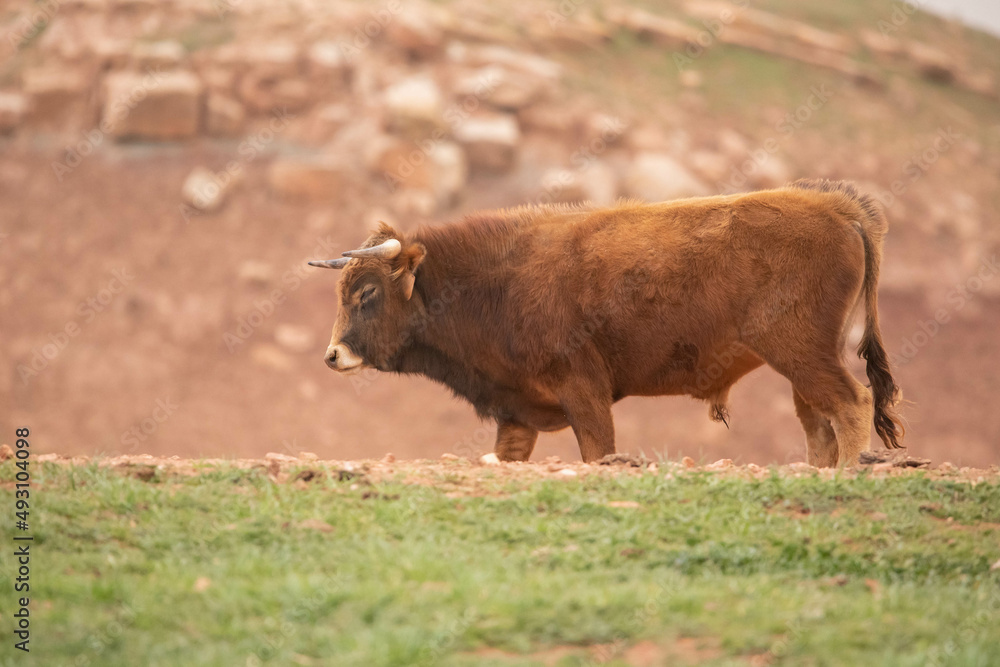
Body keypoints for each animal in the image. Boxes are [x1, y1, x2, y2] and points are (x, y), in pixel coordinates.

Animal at [309, 179, 904, 467]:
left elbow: (598, 450)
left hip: (802, 354)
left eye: (366, 292)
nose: (333, 356)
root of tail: (839, 209)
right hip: (801, 365)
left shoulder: (585, 394)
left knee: (851, 405)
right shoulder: (517, 413)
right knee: (820, 424)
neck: (491, 280)